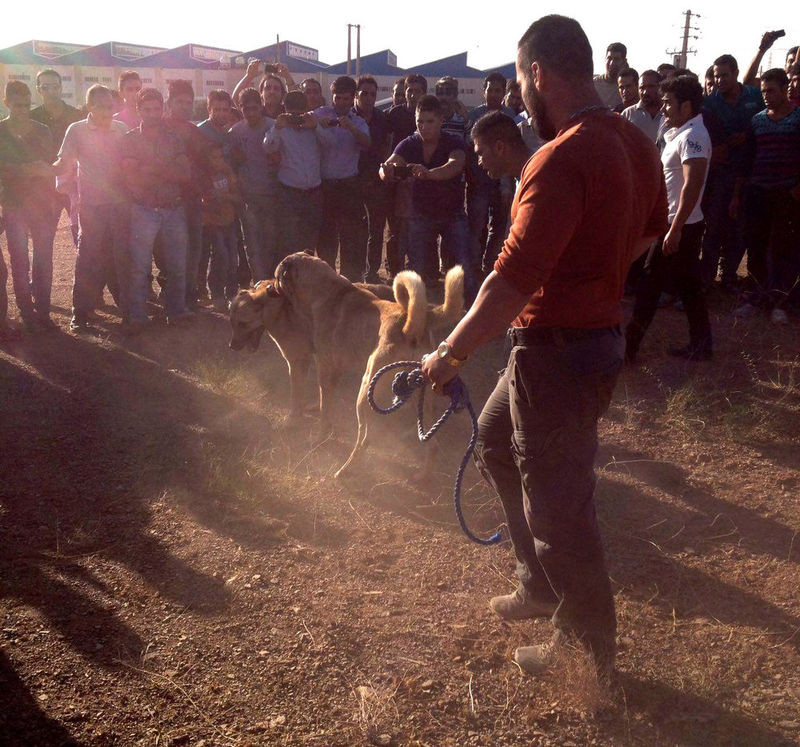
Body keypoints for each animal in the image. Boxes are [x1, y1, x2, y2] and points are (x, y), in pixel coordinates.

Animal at [274, 253, 462, 480]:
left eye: (277, 276)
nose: (270, 285)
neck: (330, 291)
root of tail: (411, 325)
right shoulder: (336, 373)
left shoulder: (325, 372)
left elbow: (325, 410)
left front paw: (320, 436)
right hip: (418, 397)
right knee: (431, 444)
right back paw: (421, 476)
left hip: (365, 393)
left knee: (365, 440)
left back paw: (345, 470)